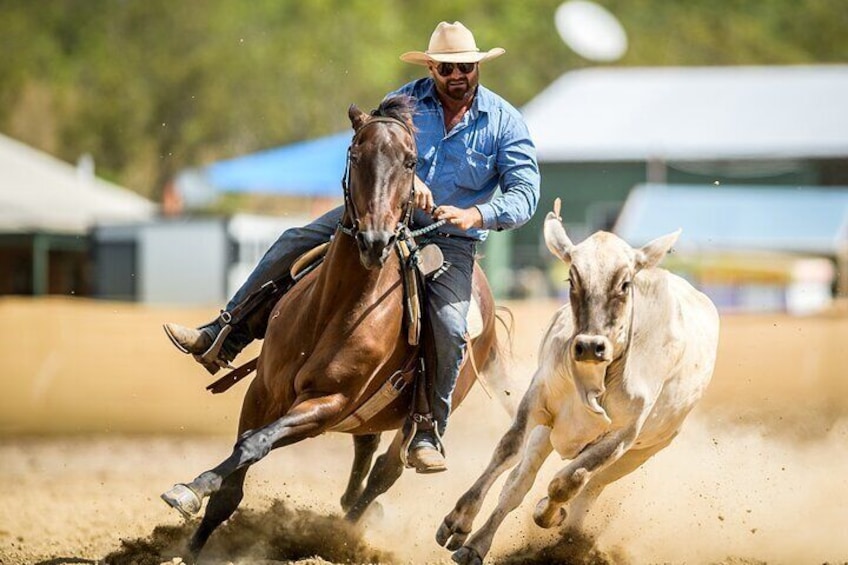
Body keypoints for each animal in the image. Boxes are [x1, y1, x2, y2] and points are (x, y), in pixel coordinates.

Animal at [438, 199, 724, 564]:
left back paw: (565, 534)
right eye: (572, 278)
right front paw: (458, 521)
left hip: (642, 452)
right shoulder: (538, 400)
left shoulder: (623, 435)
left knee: (589, 488)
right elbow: (509, 451)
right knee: (519, 483)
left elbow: (569, 482)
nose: (589, 345)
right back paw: (477, 544)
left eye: (625, 283)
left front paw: (548, 512)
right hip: (549, 433)